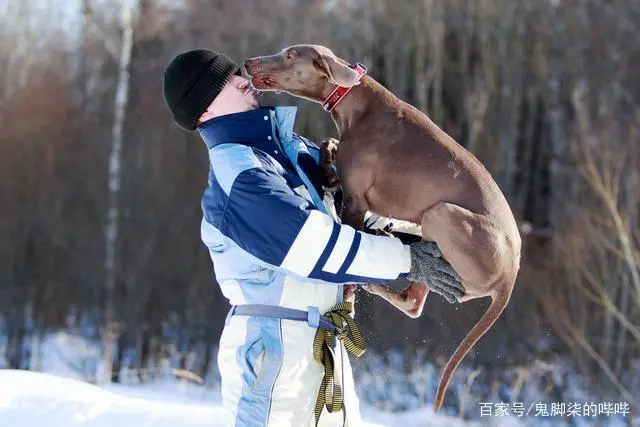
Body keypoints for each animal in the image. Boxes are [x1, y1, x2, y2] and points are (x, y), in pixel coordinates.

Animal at [242, 44, 524, 412]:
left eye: (290, 55)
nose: (248, 62)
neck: (357, 103)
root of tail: (510, 274)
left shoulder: (357, 201)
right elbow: (330, 154)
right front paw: (328, 155)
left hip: (442, 214)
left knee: (412, 299)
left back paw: (372, 278)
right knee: (414, 295)